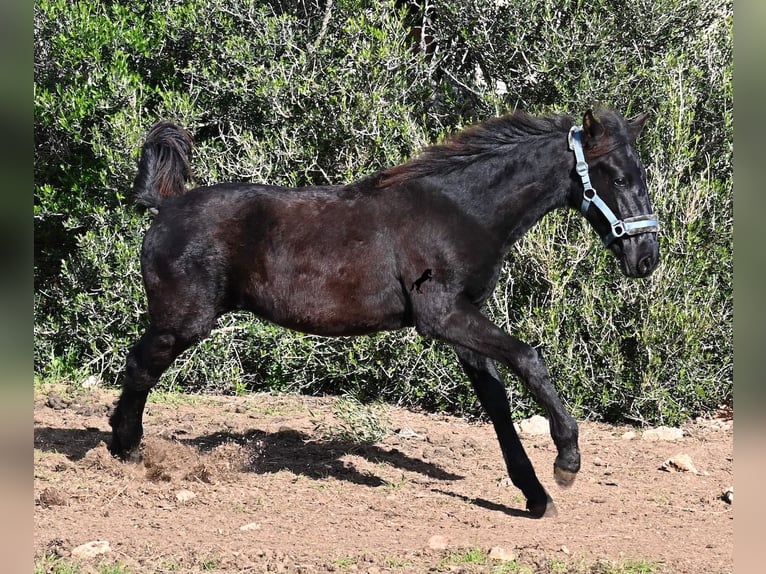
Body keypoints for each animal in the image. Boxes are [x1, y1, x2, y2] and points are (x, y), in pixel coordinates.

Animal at [108, 106, 660, 520]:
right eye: (617, 176)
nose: (646, 258)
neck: (460, 212)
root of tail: (164, 206)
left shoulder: (464, 324)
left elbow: (497, 403)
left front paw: (536, 496)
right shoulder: (442, 316)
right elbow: (529, 358)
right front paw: (567, 462)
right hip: (182, 321)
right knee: (138, 367)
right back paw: (125, 452)